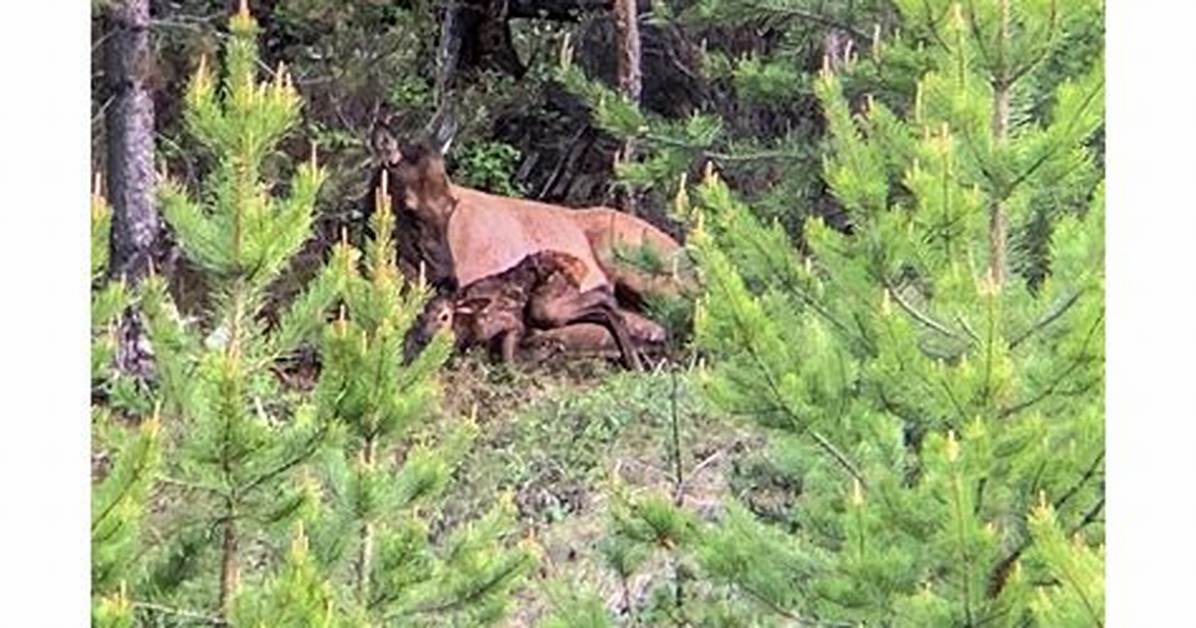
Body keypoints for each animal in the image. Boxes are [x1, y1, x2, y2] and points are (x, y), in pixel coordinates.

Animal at [403, 250, 644, 370]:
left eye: (445, 316)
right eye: (419, 315)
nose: (423, 337)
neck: (465, 328)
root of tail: (580, 265)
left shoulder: (509, 323)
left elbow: (508, 362)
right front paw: (548, 350)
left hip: (545, 308)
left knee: (605, 299)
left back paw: (636, 365)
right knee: (602, 304)